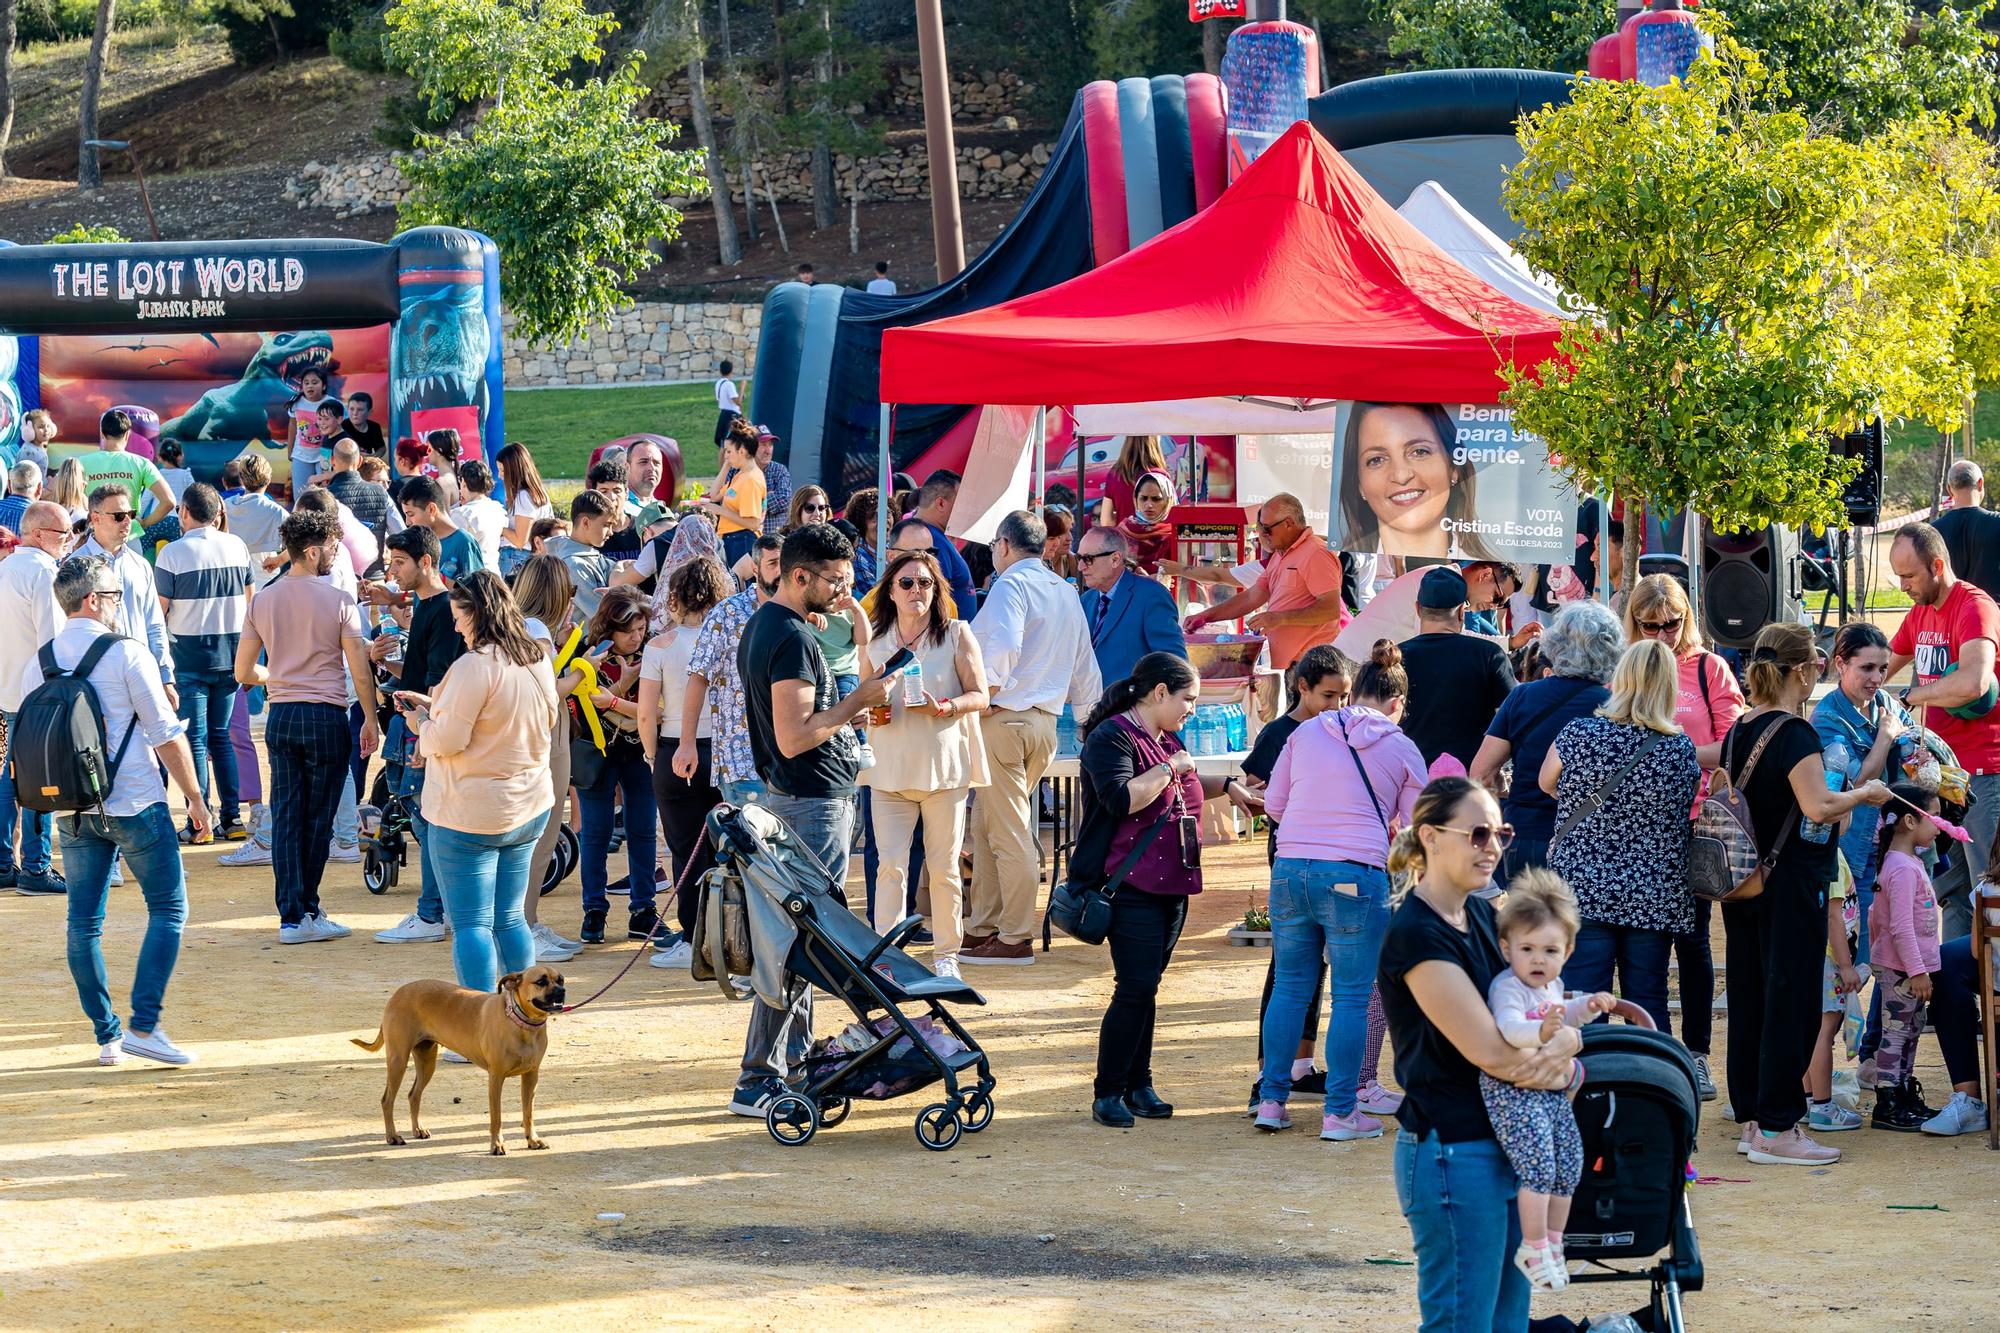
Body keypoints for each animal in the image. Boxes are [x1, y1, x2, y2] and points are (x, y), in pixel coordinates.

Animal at [352, 964, 568, 1152]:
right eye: (541, 981)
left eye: (561, 979)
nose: (562, 990)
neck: (520, 1024)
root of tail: (398, 993)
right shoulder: (496, 1078)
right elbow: (496, 1117)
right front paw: (496, 1144)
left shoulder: (531, 1077)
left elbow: (528, 1113)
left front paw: (533, 1140)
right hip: (398, 1060)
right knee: (387, 1100)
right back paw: (392, 1136)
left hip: (426, 1062)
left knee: (414, 1095)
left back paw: (418, 1129)